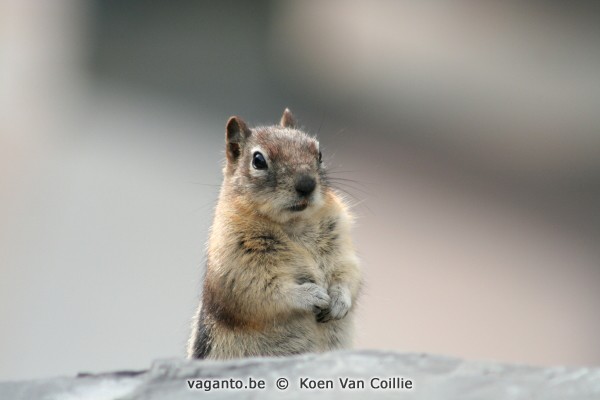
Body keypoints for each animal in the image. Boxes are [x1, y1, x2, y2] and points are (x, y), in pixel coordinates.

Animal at [188, 109, 360, 360]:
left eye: (319, 153)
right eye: (258, 160)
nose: (306, 184)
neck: (294, 224)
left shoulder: (341, 242)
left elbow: (349, 272)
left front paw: (340, 300)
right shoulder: (237, 262)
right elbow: (263, 291)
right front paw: (311, 295)